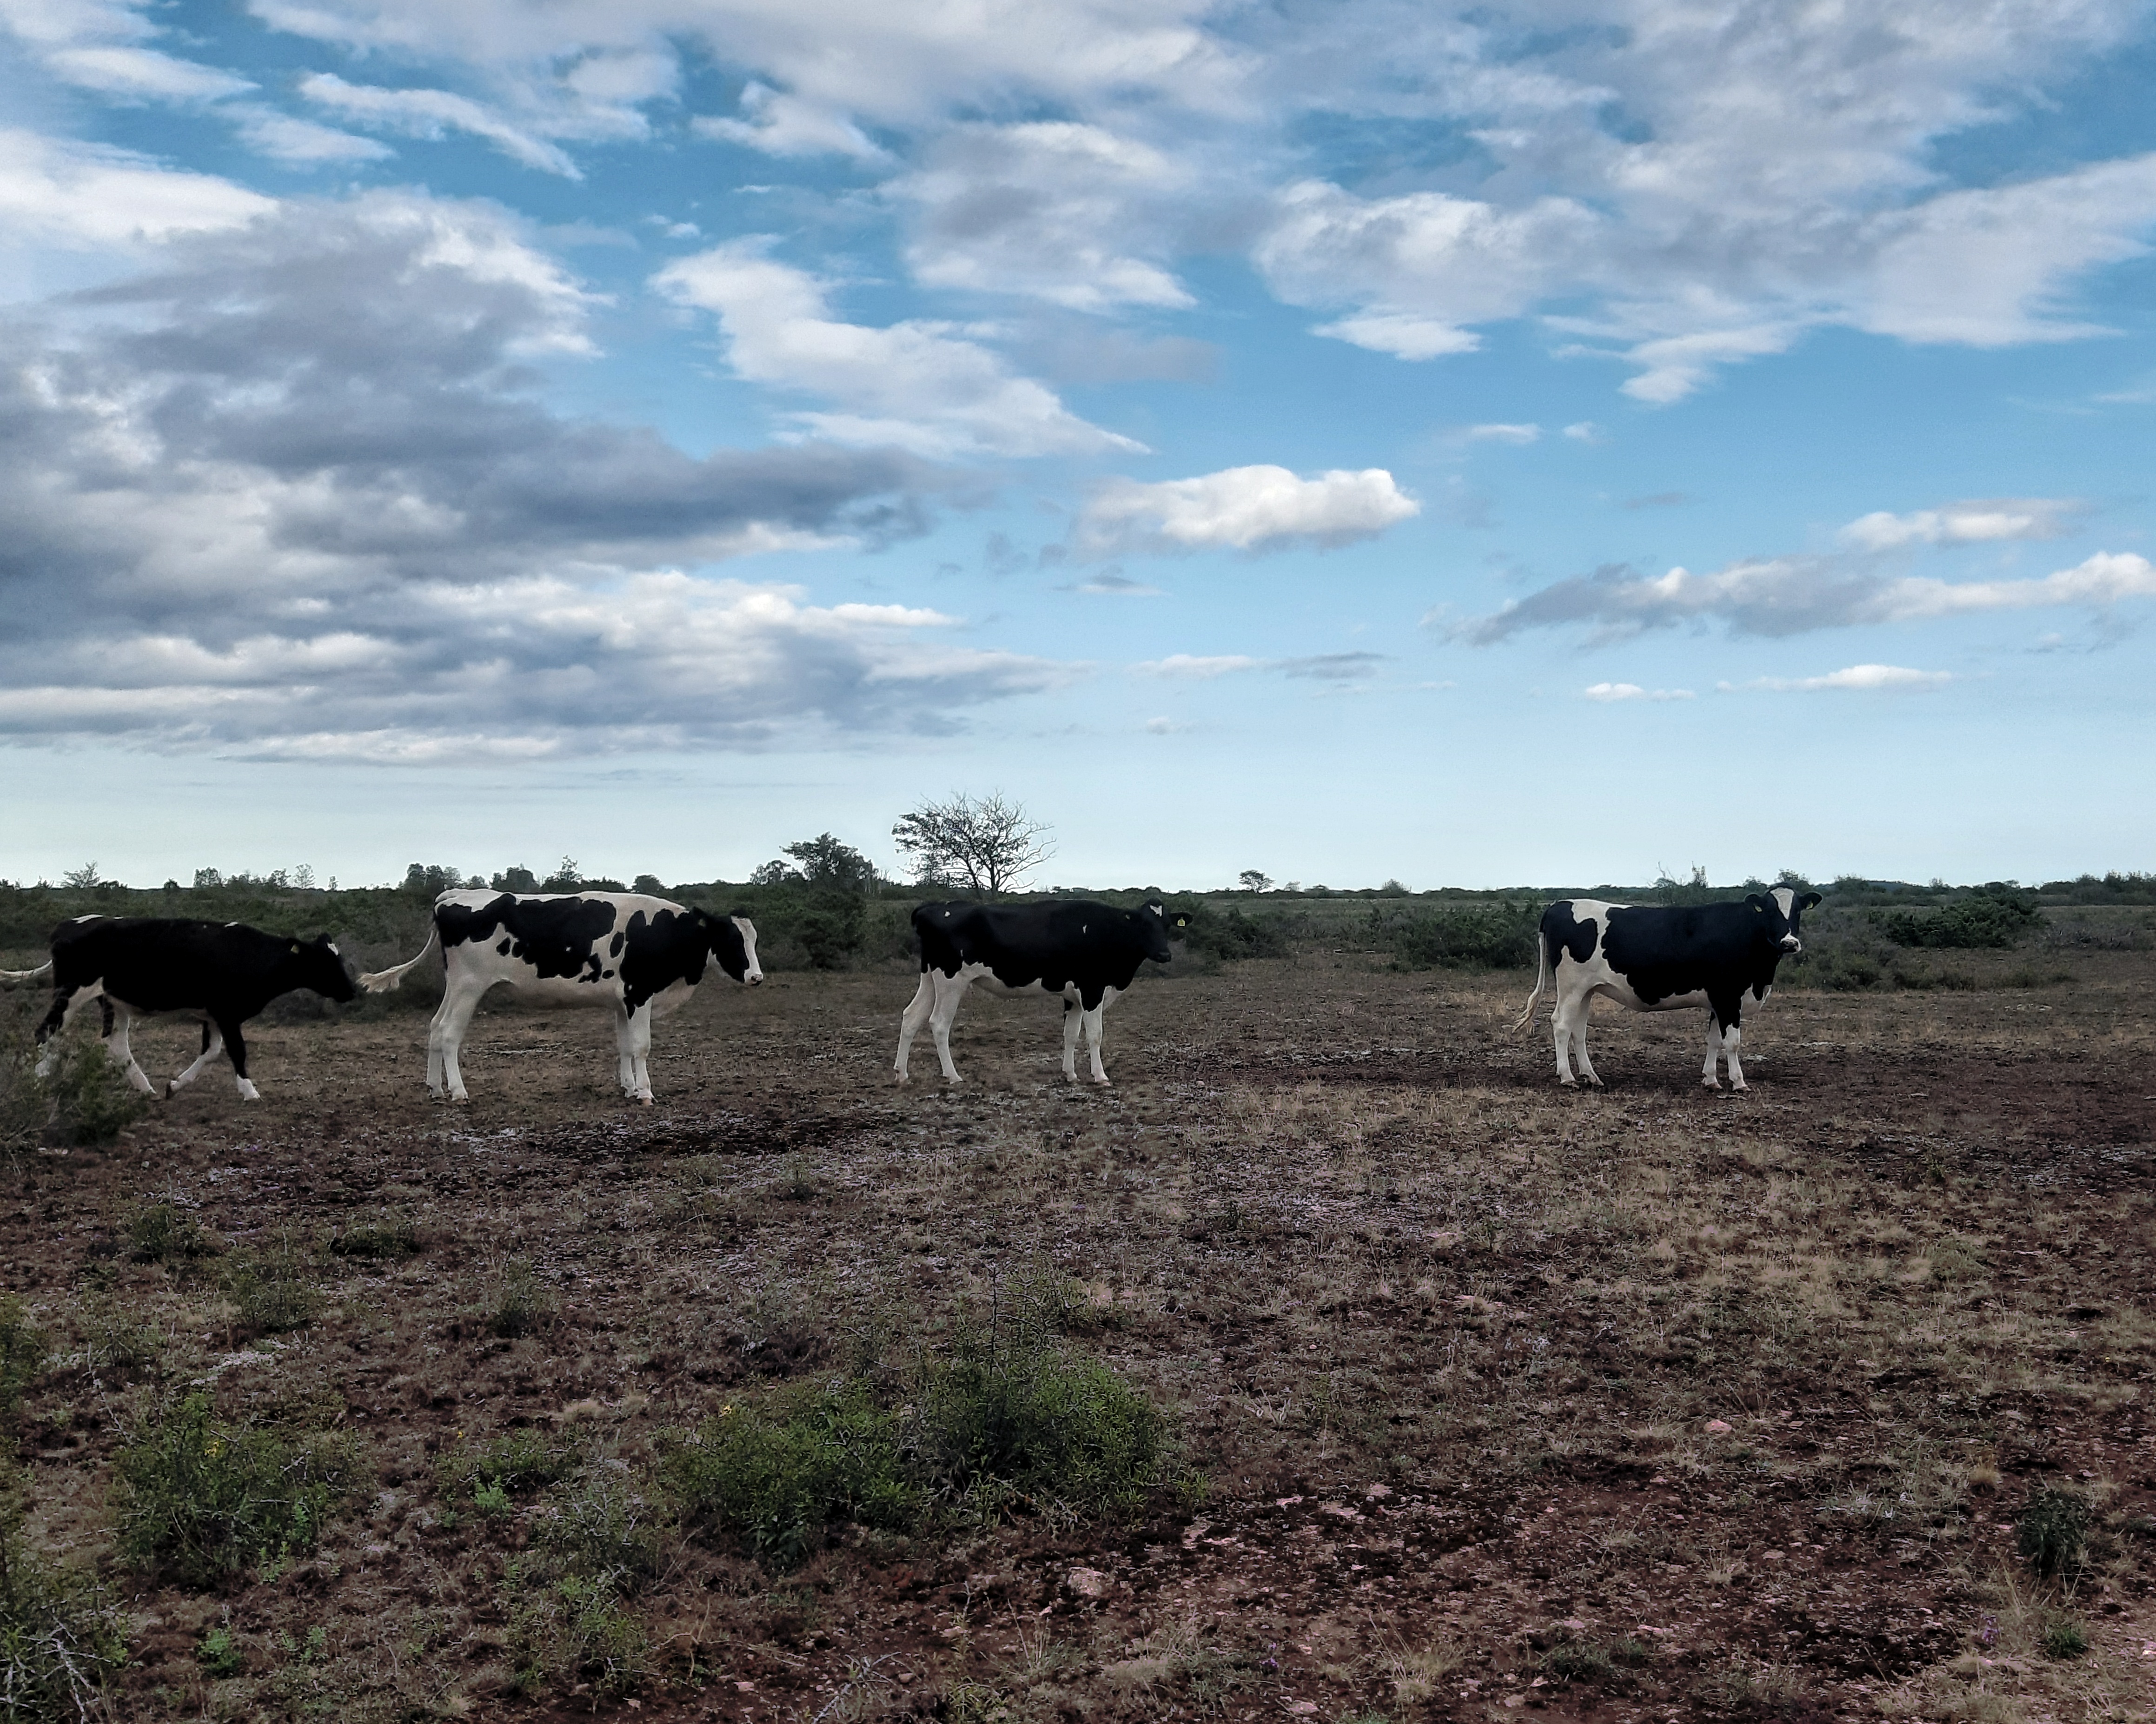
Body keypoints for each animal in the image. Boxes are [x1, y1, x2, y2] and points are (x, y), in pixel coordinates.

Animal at [0, 916, 356, 1101]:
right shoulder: (227, 1013)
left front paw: (175, 1085)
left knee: (113, 1042)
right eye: (323, 961)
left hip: (113, 1000)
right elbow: (237, 1051)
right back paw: (38, 1081)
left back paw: (145, 1088)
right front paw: (249, 1090)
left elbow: (211, 1052)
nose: (351, 991)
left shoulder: (213, 1015)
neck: (251, 954)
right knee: (47, 1031)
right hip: (71, 993)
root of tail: (69, 925)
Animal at [358, 890, 761, 1103]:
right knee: (448, 1035)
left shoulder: (623, 1001)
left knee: (434, 1027)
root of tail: (455, 894)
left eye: (753, 939)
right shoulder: (639, 994)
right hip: (469, 986)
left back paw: (435, 1088)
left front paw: (629, 1088)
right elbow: (642, 1047)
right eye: (731, 939)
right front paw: (645, 1092)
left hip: (455, 985)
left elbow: (625, 1046)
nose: (757, 977)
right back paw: (458, 1092)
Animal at [896, 898, 1181, 1087]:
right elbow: (1095, 1036)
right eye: (1144, 924)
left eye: (1168, 925)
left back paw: (902, 1074)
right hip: (951, 981)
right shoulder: (1092, 990)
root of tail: (932, 907)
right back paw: (953, 1076)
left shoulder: (1073, 997)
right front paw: (1100, 1077)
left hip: (930, 977)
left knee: (911, 1017)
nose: (1165, 955)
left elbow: (1070, 1035)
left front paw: (1071, 1074)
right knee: (939, 1023)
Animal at [1512, 887, 1823, 1091]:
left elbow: (1714, 1040)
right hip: (1571, 985)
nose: (1789, 943)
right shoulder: (1728, 996)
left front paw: (1711, 1080)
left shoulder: (1718, 1000)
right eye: (1769, 910)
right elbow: (1732, 1042)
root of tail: (1558, 904)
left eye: (1797, 911)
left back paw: (1592, 1077)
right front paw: (1739, 1083)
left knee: (1579, 1030)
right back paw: (1568, 1078)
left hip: (1587, 990)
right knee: (1561, 1025)